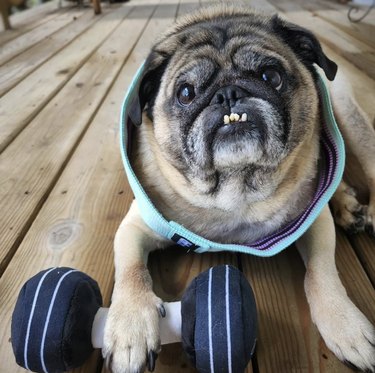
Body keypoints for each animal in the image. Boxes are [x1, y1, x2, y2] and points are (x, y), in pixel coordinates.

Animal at [103, 3, 375, 372]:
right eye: (186, 94)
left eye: (271, 76)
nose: (228, 94)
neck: (237, 190)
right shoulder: (136, 226)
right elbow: (132, 271)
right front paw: (130, 327)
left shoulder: (314, 220)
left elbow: (321, 273)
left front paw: (345, 323)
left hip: (346, 111)